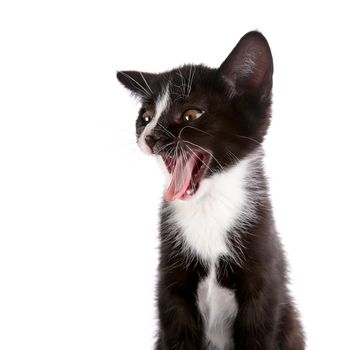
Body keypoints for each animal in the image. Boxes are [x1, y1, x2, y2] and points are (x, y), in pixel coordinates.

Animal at [117, 30, 304, 350]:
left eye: (191, 115)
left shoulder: (264, 280)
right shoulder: (171, 285)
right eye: (146, 117)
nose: (150, 137)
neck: (209, 205)